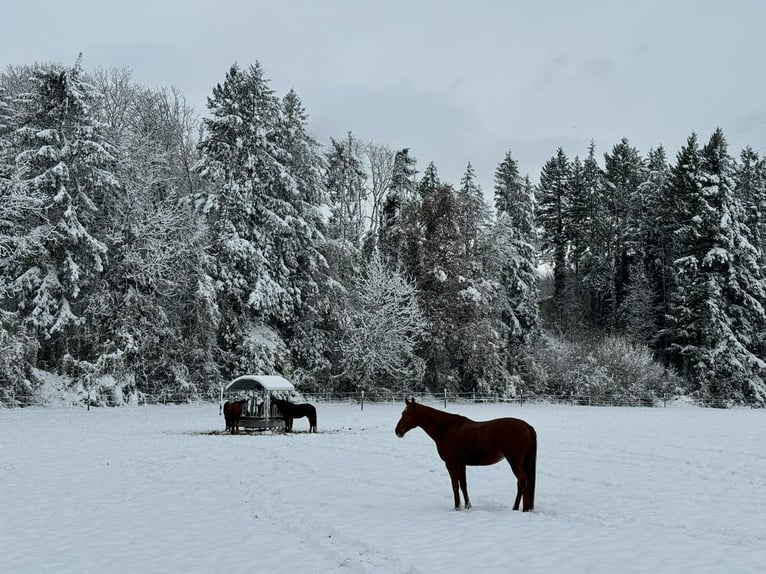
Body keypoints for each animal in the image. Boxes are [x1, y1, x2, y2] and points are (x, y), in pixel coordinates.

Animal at [396, 400, 540, 512]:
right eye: (402, 413)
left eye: (409, 414)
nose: (397, 431)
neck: (446, 429)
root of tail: (526, 425)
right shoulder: (462, 464)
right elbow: (463, 485)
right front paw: (468, 506)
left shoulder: (451, 463)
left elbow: (455, 486)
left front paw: (457, 507)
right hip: (521, 462)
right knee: (520, 483)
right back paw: (515, 508)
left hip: (514, 462)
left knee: (522, 481)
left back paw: (525, 509)